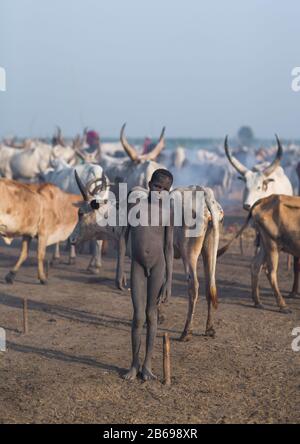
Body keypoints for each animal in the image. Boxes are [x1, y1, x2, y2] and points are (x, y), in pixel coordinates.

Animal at [71, 173, 225, 340]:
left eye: (80, 213)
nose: (72, 239)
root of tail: (205, 196)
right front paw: (159, 315)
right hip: (210, 249)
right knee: (210, 285)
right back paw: (209, 328)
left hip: (188, 253)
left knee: (194, 286)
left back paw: (186, 332)